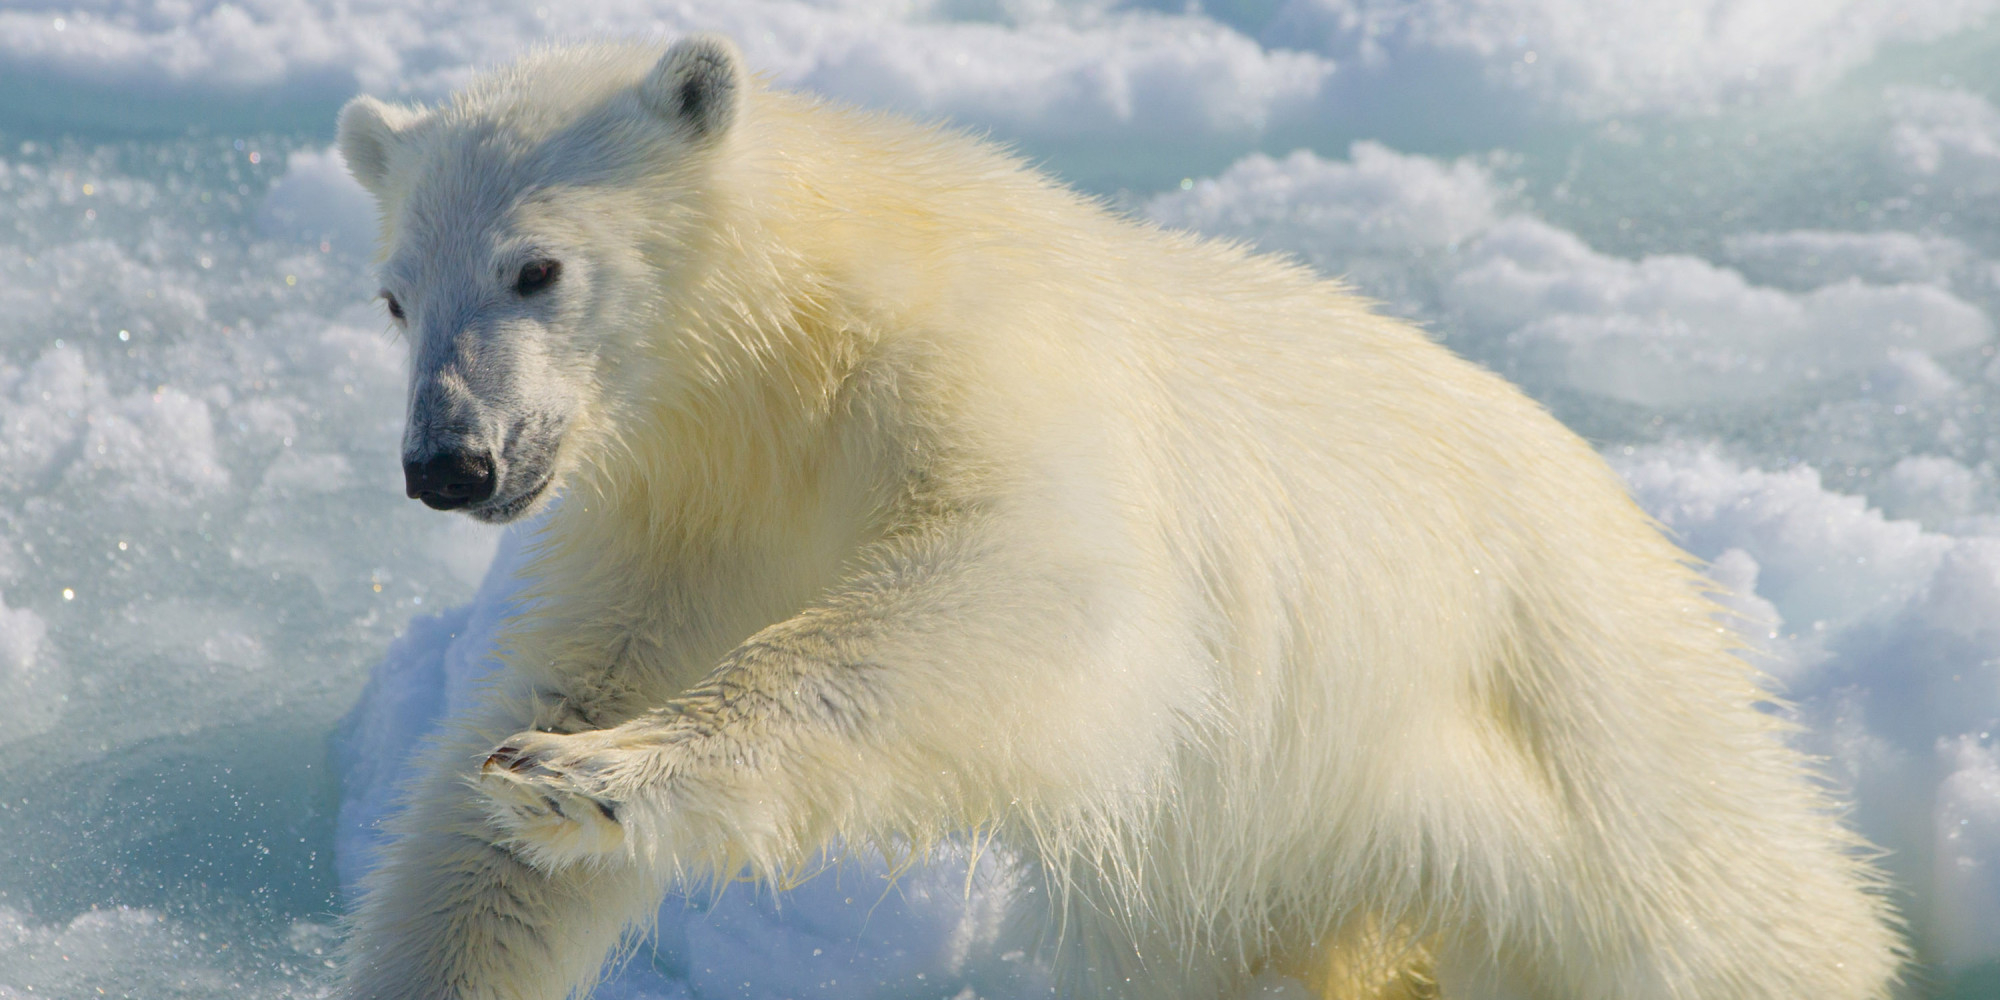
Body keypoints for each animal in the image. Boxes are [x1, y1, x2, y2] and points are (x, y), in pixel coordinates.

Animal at [332, 35, 1903, 1000]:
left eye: (536, 266)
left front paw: (595, 773)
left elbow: (1031, 602)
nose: (449, 462)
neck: (794, 353)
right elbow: (553, 712)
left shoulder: (977, 367)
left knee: (1719, 918)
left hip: (1585, 713)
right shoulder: (684, 496)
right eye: (395, 295)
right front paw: (524, 793)